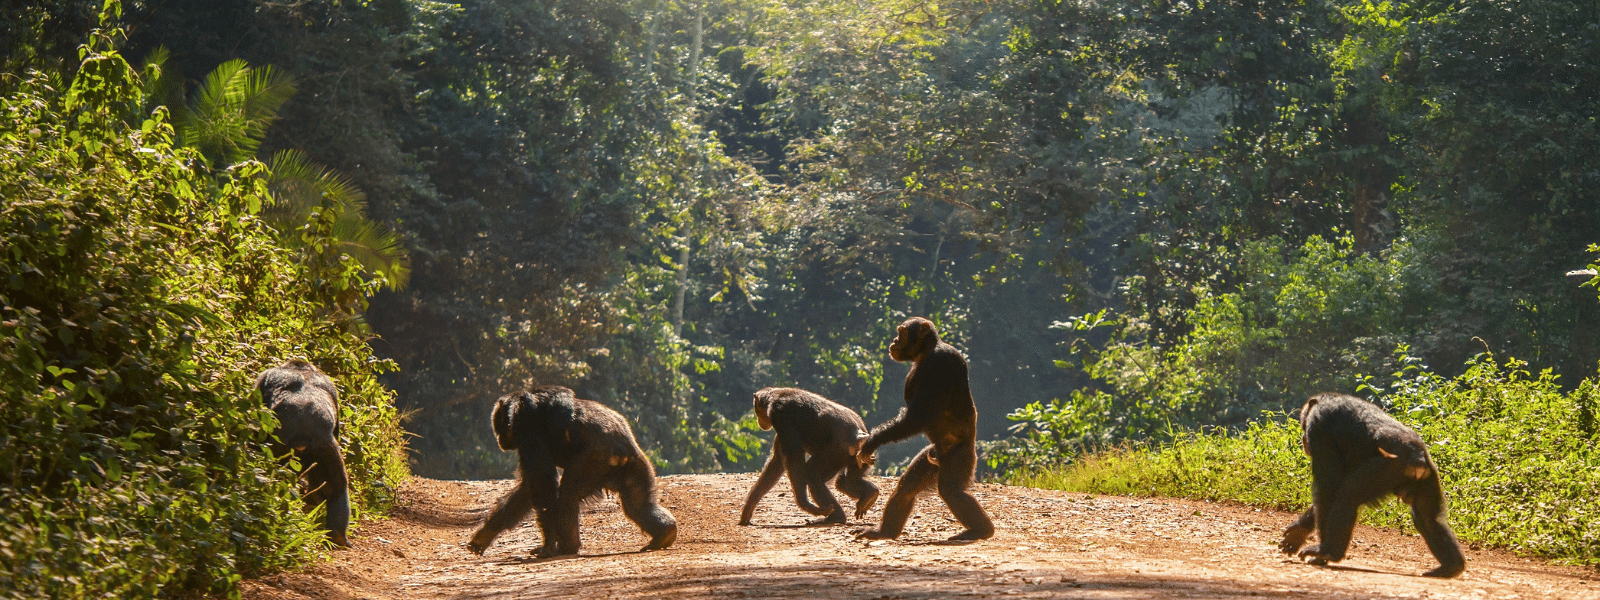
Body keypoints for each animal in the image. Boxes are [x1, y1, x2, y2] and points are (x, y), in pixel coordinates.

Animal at [256, 361, 350, 550]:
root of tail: (302, 438)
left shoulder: (263, 378)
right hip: (326, 448)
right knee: (336, 486)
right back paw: (337, 535)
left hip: (285, 446)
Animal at [467, 387, 681, 556]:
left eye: (499, 425)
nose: (499, 439)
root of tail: (622, 450)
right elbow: (528, 489)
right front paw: (485, 534)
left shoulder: (529, 434)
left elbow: (542, 485)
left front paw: (547, 546)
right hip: (635, 467)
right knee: (638, 505)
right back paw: (664, 534)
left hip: (594, 461)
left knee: (568, 495)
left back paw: (567, 547)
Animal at [739, 390, 883, 524]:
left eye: (757, 411)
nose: (758, 420)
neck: (772, 399)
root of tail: (859, 436)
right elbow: (777, 461)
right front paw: (748, 508)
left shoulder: (781, 416)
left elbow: (794, 457)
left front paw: (805, 504)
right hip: (861, 457)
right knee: (845, 482)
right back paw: (870, 493)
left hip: (835, 452)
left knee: (812, 473)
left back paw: (836, 516)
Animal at [857, 316, 992, 544]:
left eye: (902, 332)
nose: (894, 340)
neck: (926, 352)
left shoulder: (938, 364)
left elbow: (917, 416)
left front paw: (872, 441)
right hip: (931, 458)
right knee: (907, 487)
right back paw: (884, 532)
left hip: (960, 456)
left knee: (951, 491)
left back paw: (981, 531)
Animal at [1280, 392, 1465, 579]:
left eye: (1304, 426)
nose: (1303, 440)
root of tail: (1419, 459)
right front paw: (1298, 532)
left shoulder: (1318, 427)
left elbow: (1329, 487)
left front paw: (1316, 550)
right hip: (1429, 478)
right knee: (1428, 519)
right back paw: (1450, 567)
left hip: (1386, 469)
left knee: (1348, 496)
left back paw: (1328, 551)